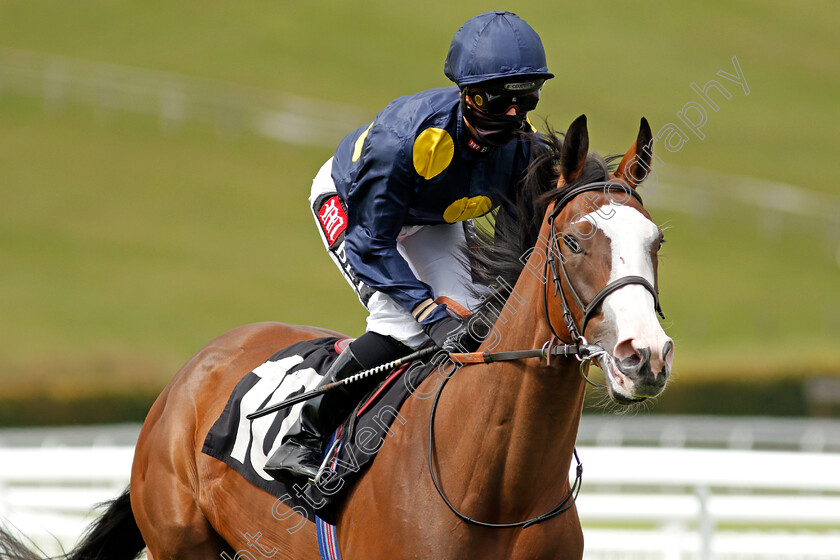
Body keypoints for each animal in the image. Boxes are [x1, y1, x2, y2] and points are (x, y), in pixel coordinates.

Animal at [0, 115, 672, 560]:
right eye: (574, 241)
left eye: (657, 241)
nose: (645, 356)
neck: (498, 489)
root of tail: (189, 375)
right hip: (180, 541)